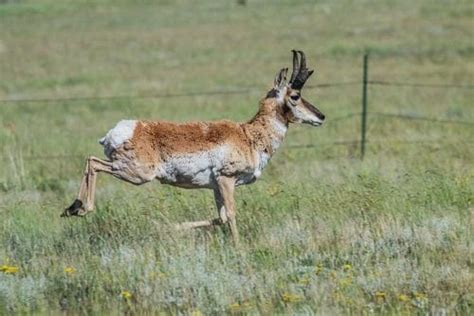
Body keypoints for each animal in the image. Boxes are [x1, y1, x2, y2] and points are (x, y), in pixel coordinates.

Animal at [61, 50, 324, 242]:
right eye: (295, 96)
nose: (321, 116)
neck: (249, 135)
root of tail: (122, 129)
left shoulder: (216, 186)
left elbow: (220, 218)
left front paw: (169, 227)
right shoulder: (226, 179)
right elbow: (231, 215)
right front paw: (239, 249)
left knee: (91, 161)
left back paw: (71, 209)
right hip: (138, 173)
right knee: (93, 162)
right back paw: (80, 208)